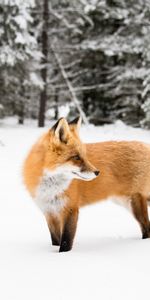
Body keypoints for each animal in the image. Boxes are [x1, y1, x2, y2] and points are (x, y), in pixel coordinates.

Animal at [22, 116, 150, 252]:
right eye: (76, 157)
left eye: (84, 155)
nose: (97, 172)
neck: (50, 188)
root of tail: (146, 145)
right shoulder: (49, 212)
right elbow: (55, 240)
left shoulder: (70, 209)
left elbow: (66, 241)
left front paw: (63, 255)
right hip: (124, 201)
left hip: (135, 203)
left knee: (147, 228)